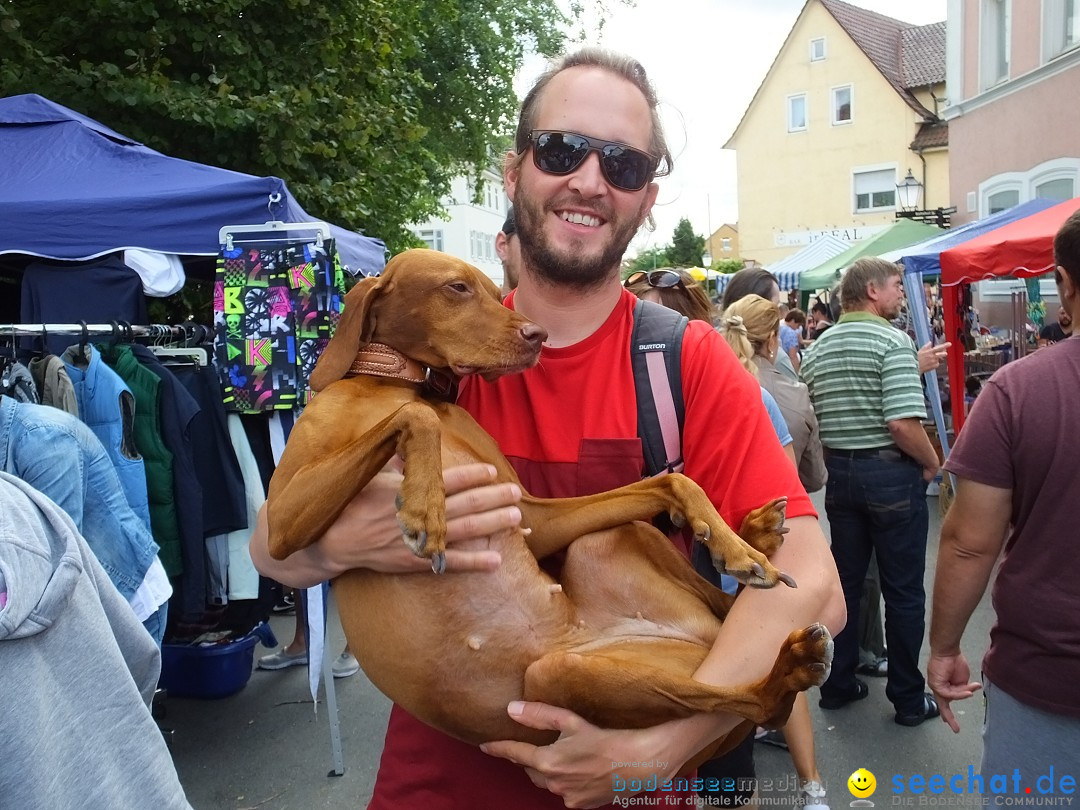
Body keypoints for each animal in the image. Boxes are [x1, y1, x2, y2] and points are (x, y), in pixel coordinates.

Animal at [265, 250, 829, 768]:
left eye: (496, 292)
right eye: (456, 288)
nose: (538, 335)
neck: (389, 382)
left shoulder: (530, 518)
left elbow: (674, 479)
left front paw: (733, 548)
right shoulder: (279, 525)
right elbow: (415, 416)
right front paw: (428, 508)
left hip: (592, 600)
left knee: (754, 683)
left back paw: (759, 559)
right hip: (566, 669)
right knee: (754, 692)